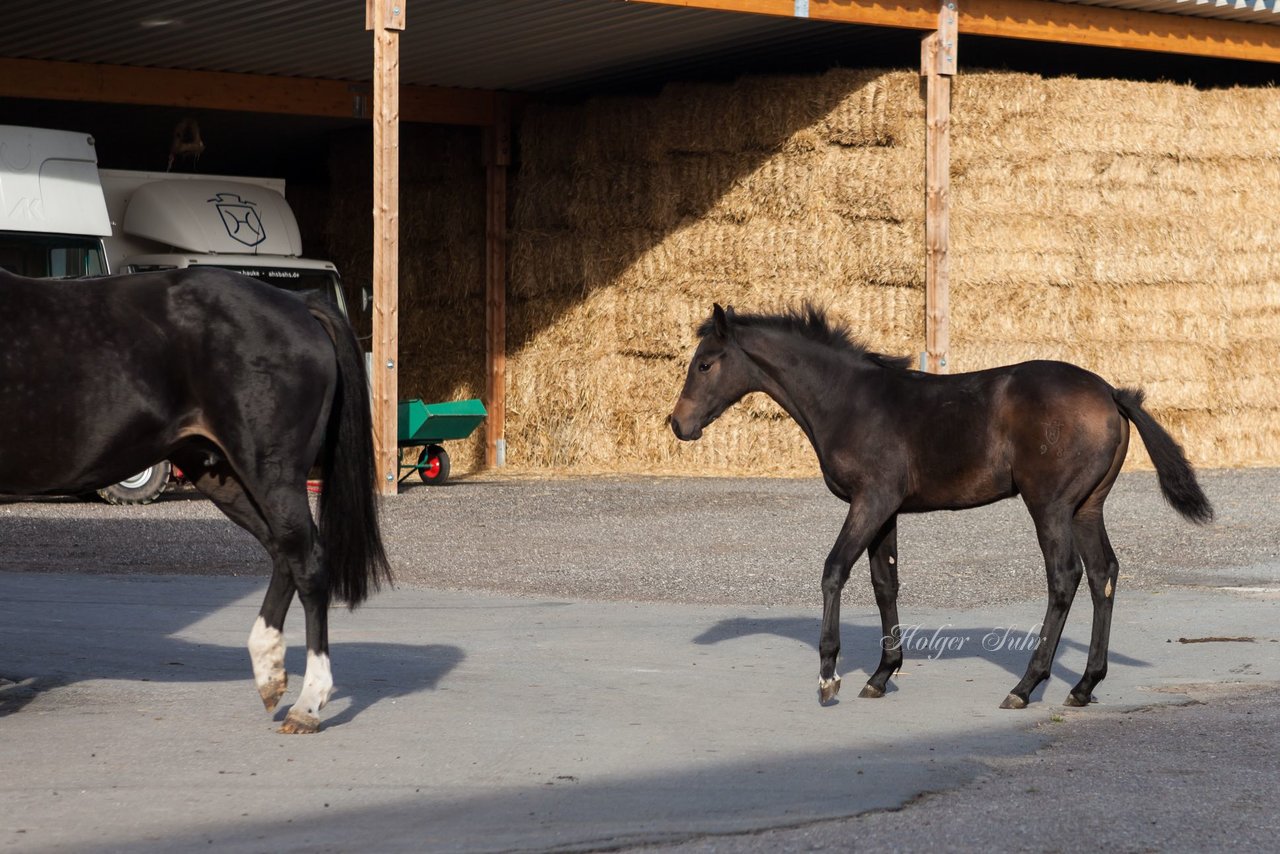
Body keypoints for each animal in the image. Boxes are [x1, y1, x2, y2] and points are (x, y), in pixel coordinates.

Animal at [1, 268, 389, 737]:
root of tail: (297, 303)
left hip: (270, 471)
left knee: (307, 559)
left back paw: (307, 704)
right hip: (221, 475)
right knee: (283, 551)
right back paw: (269, 671)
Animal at [670, 303, 1208, 711]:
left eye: (705, 364)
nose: (678, 424)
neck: (849, 400)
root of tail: (1110, 393)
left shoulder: (870, 500)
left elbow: (834, 570)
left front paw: (828, 677)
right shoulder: (886, 510)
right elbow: (884, 583)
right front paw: (882, 675)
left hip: (1051, 505)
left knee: (1064, 577)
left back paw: (1025, 686)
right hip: (1086, 507)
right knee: (1103, 574)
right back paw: (1083, 685)